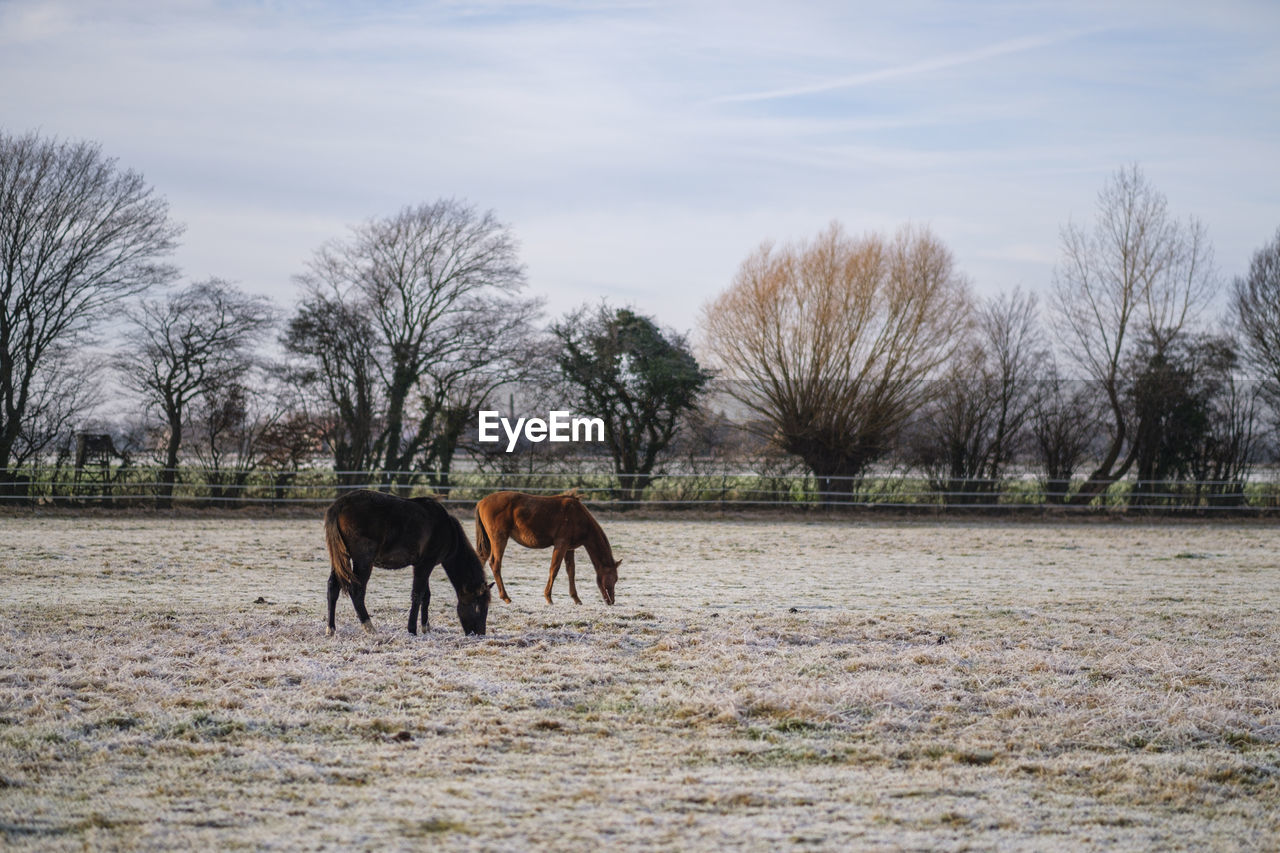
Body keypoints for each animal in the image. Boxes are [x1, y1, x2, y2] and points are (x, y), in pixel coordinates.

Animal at [322, 489, 491, 635]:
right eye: (478, 607)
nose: (480, 634)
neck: (448, 530)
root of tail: (340, 504)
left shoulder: (422, 564)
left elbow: (426, 595)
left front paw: (425, 627)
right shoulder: (425, 564)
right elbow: (417, 594)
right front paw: (412, 629)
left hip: (340, 559)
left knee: (333, 587)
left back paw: (331, 628)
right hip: (363, 561)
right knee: (356, 590)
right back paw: (369, 626)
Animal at [478, 484, 622, 604]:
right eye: (614, 578)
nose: (611, 601)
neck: (579, 517)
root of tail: (481, 502)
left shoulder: (569, 548)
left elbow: (571, 571)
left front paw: (576, 598)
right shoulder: (561, 544)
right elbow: (554, 569)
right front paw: (548, 597)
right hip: (499, 539)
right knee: (495, 564)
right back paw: (505, 597)